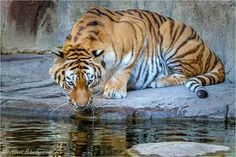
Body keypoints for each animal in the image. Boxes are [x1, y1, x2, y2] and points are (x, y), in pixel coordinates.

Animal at [49, 5, 225, 109]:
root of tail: (211, 52)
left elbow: (124, 67)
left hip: (172, 37)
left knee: (185, 75)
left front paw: (113, 91)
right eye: (70, 83)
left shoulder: (137, 28)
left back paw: (158, 81)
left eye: (89, 81)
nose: (81, 106)